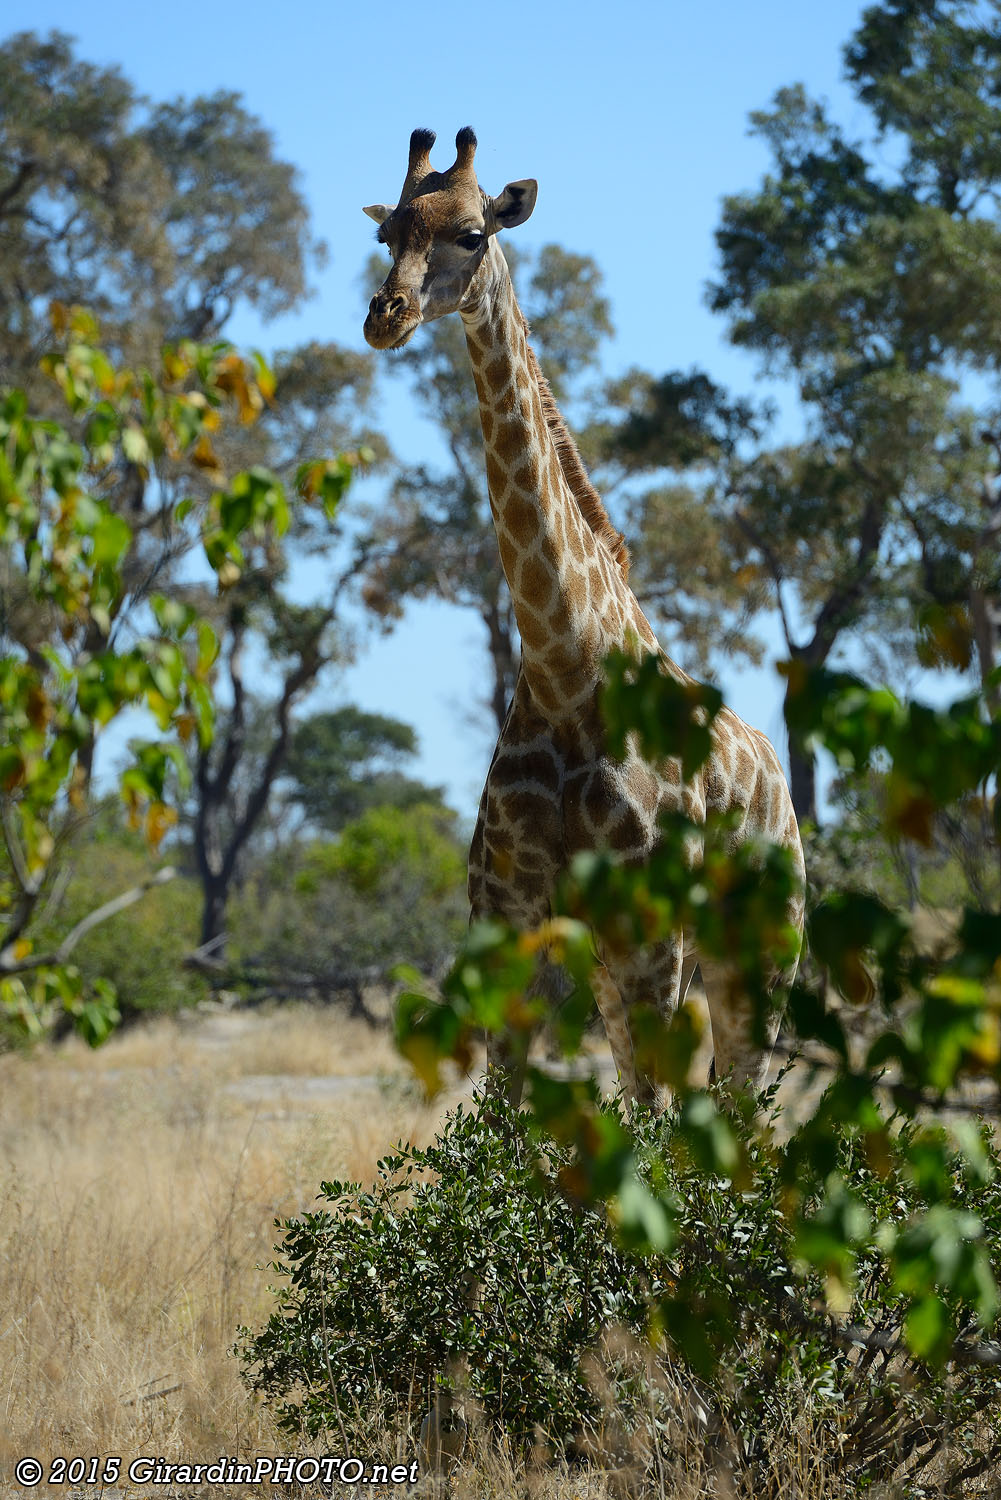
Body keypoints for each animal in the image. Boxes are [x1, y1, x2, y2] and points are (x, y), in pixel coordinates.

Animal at [364, 128, 806, 1106]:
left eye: (472, 235)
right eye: (388, 234)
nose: (386, 314)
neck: (566, 669)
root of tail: (782, 784)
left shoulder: (649, 927)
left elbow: (655, 1120)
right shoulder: (508, 915)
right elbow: (504, 1118)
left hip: (761, 950)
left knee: (736, 1103)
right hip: (618, 963)